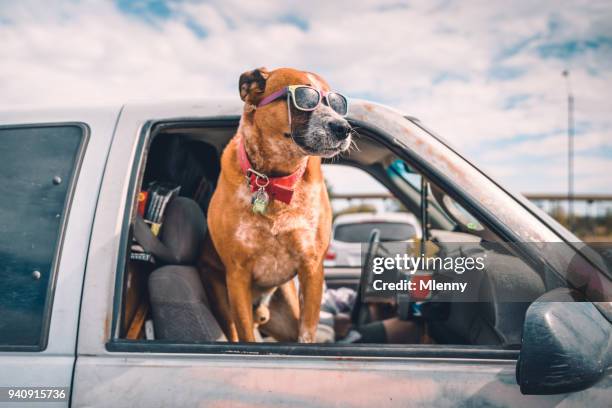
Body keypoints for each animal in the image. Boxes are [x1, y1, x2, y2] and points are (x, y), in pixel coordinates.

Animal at [200, 67, 352, 342]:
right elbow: (247, 338)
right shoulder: (237, 275)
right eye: (304, 98)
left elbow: (307, 333)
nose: (343, 128)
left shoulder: (312, 268)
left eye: (337, 104)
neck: (274, 180)